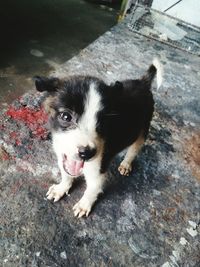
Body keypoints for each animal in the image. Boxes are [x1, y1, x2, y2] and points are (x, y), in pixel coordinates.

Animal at [34, 58, 162, 218]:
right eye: (66, 117)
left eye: (103, 122)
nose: (87, 153)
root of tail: (143, 82)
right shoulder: (62, 157)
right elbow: (66, 175)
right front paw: (60, 188)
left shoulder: (98, 171)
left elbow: (92, 189)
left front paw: (84, 205)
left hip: (143, 130)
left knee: (133, 150)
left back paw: (126, 164)